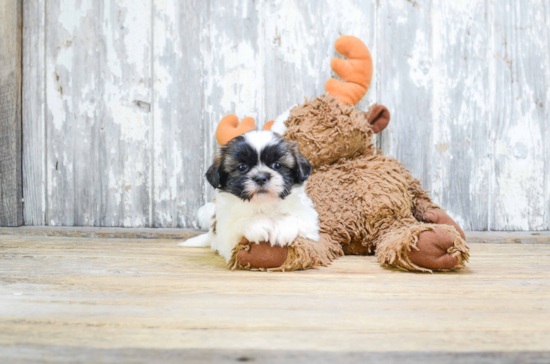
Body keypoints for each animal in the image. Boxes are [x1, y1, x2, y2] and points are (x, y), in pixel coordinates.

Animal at [179, 130, 322, 262]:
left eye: (277, 165)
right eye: (242, 167)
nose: (261, 177)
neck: (264, 204)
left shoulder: (310, 222)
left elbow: (297, 219)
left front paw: (283, 227)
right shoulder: (225, 234)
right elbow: (239, 224)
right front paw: (257, 224)